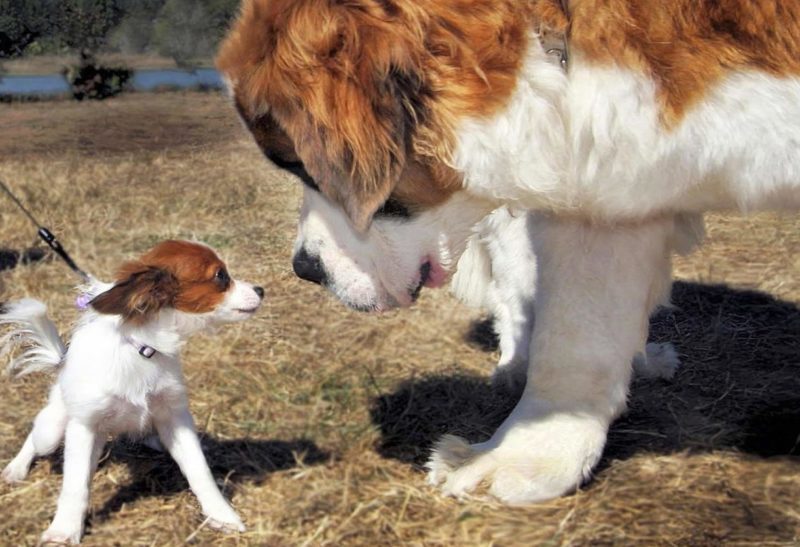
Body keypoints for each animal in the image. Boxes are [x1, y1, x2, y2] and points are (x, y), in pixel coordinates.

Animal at [1, 242, 264, 544]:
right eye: (221, 276)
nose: (261, 290)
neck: (143, 349)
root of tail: (62, 361)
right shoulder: (84, 426)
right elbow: (75, 485)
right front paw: (64, 531)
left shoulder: (176, 418)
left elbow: (200, 471)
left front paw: (222, 515)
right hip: (53, 429)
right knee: (36, 437)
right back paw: (17, 468)